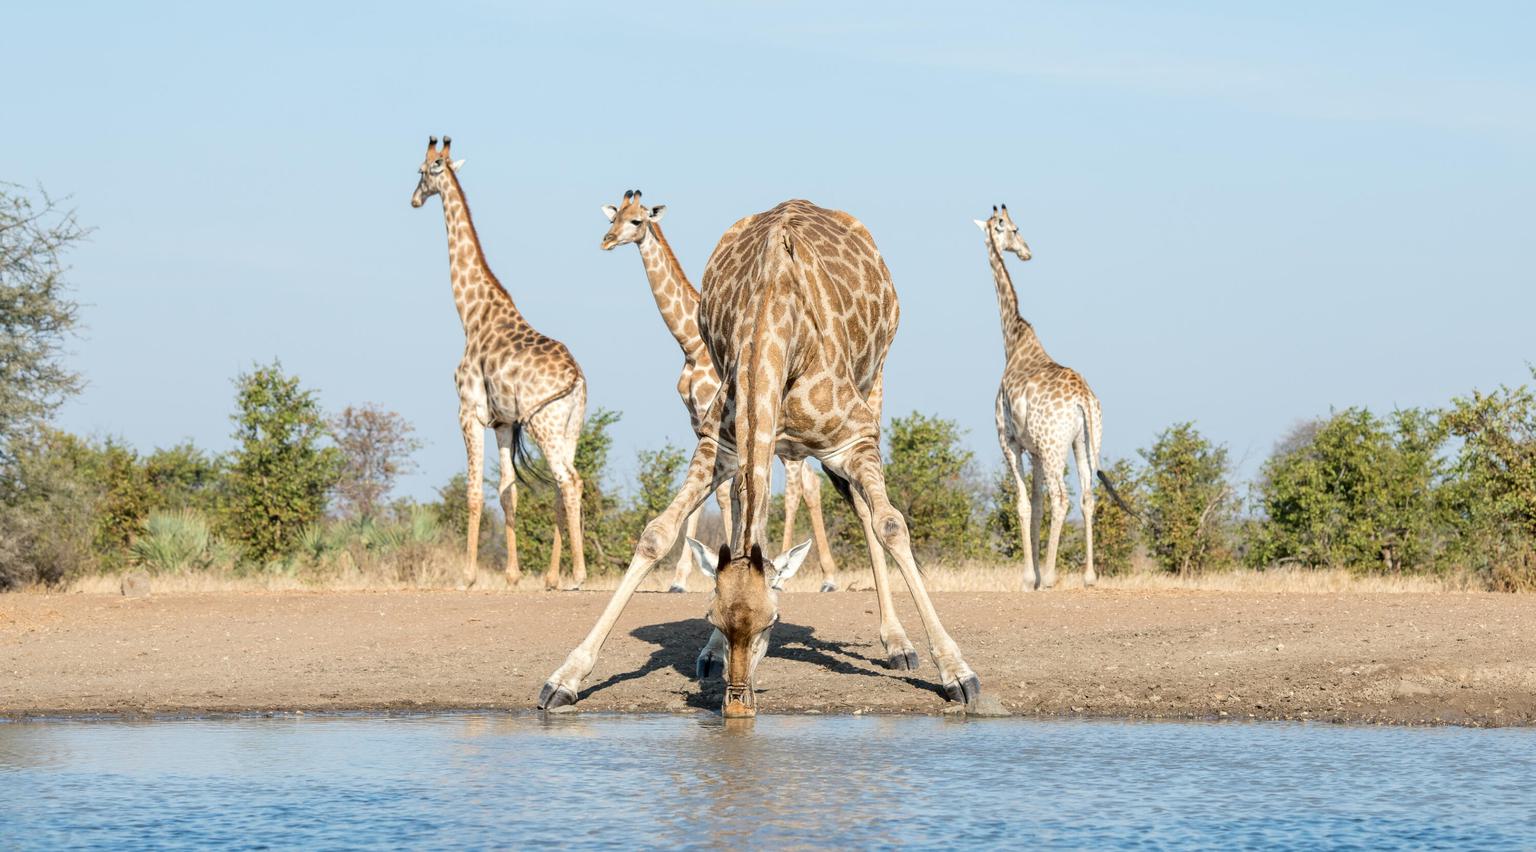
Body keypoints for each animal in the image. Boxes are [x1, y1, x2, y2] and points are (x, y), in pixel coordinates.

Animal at [411, 136, 587, 590]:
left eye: (423, 170)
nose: (414, 199)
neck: (471, 313)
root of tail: (577, 377)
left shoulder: (468, 411)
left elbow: (474, 490)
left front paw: (468, 575)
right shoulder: (504, 421)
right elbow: (509, 490)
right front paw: (511, 574)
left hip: (544, 424)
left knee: (569, 480)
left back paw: (577, 575)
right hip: (570, 425)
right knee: (564, 484)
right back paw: (553, 577)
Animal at [599, 189, 839, 593]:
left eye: (637, 220)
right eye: (613, 217)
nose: (606, 240)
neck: (689, 343)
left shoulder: (714, 416)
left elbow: (725, 495)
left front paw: (693, 575)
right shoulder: (699, 421)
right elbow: (717, 494)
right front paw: (693, 573)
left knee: (800, 486)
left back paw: (820, 577)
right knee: (807, 484)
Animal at [977, 203, 1105, 590]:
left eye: (1013, 227)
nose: (1026, 252)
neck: (1013, 341)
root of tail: (1083, 399)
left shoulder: (1009, 441)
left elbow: (1022, 504)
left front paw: (1028, 577)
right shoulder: (1033, 451)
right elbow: (1035, 506)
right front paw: (1031, 576)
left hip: (1054, 446)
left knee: (1062, 498)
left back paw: (1050, 576)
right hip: (1083, 441)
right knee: (1089, 495)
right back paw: (1089, 576)